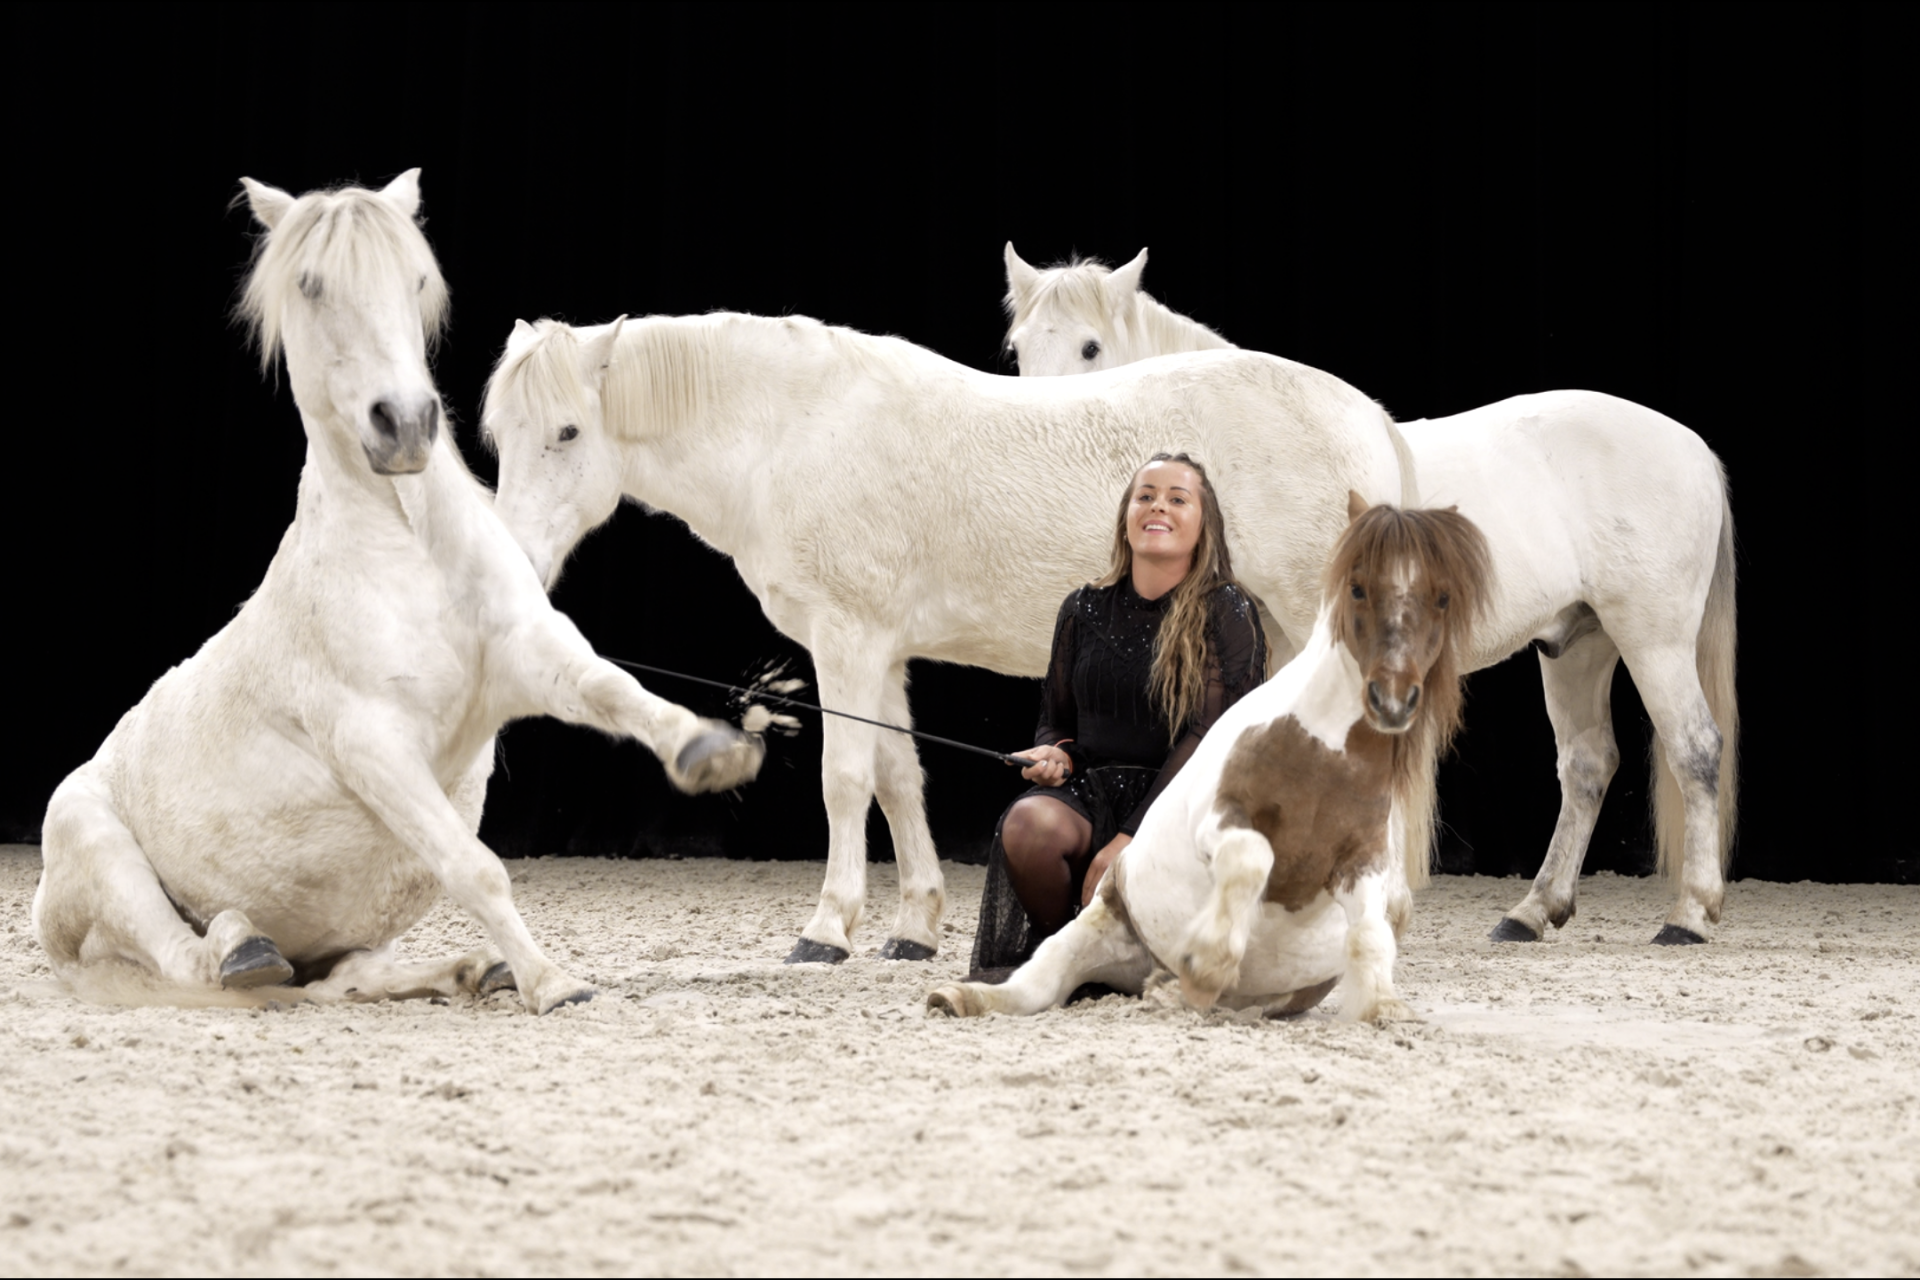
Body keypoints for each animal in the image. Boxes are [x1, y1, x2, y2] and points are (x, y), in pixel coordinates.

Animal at [32, 171, 763, 1014]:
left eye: (415, 279)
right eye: (311, 284)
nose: (405, 424)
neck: (414, 547)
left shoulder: (526, 659)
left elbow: (612, 691)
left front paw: (711, 750)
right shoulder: (373, 746)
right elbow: (474, 867)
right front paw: (554, 983)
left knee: (336, 978)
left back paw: (466, 970)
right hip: (101, 851)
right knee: (193, 960)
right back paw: (241, 944)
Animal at [482, 313, 1423, 965]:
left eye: (567, 432)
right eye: (498, 437)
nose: (513, 562)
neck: (794, 431)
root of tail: (1368, 415)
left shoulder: (848, 639)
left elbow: (844, 780)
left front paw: (828, 928)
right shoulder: (883, 650)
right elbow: (900, 778)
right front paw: (913, 928)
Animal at [928, 495, 1492, 1020]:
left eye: (1443, 596)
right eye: (1357, 587)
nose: (1392, 701)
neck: (1322, 755)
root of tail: (1135, 967)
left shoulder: (1364, 864)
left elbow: (1372, 933)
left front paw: (1385, 1009)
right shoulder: (1219, 822)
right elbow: (1252, 855)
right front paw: (1207, 959)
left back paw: (1168, 990)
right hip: (1096, 927)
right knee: (1038, 983)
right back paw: (960, 997)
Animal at [1001, 244, 1738, 945]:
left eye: (1091, 346)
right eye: (1018, 345)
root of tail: (1694, 448)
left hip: (1653, 639)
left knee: (1695, 750)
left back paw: (1690, 915)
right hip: (1576, 643)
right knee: (1587, 765)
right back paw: (1532, 911)